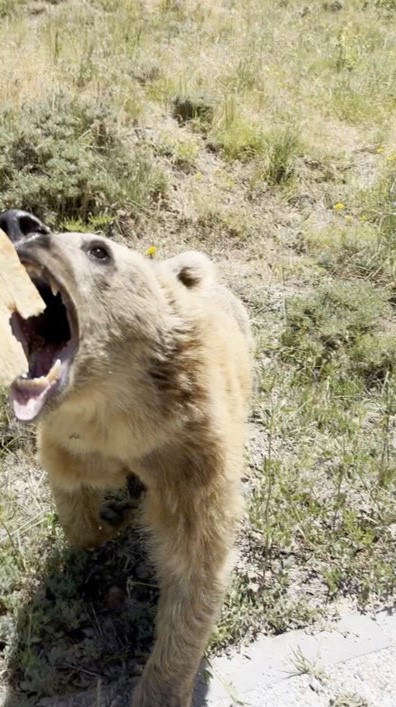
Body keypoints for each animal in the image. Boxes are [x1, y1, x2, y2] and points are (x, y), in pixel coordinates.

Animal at [9, 228, 252, 707]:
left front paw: (159, 689)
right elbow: (74, 500)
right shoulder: (73, 443)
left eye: (99, 250)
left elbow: (194, 567)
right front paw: (108, 520)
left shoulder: (190, 460)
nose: (20, 225)